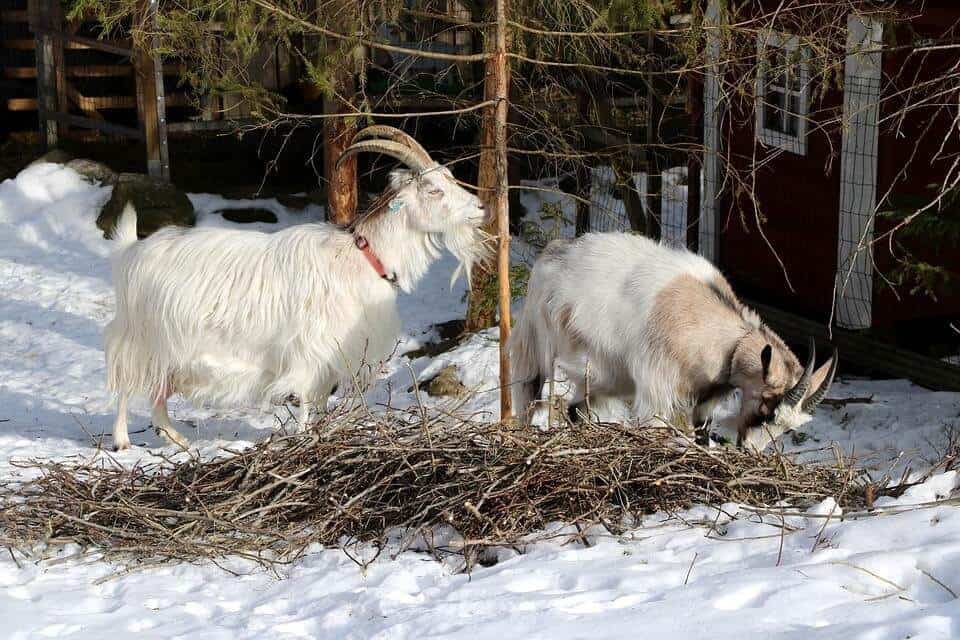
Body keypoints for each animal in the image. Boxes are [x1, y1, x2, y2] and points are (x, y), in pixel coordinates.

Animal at [105, 126, 488, 450]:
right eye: (434, 190)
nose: (480, 207)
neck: (361, 257)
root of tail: (131, 252)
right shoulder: (309, 350)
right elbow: (304, 401)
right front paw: (304, 438)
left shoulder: (331, 358)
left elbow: (319, 402)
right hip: (140, 339)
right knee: (125, 385)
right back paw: (122, 442)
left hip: (169, 352)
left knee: (157, 397)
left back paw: (179, 442)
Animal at [509, 233, 837, 451]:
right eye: (767, 410)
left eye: (787, 428)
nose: (750, 450)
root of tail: (551, 254)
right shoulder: (656, 391)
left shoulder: (705, 396)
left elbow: (701, 431)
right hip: (535, 349)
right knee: (529, 393)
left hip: (602, 379)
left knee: (575, 409)